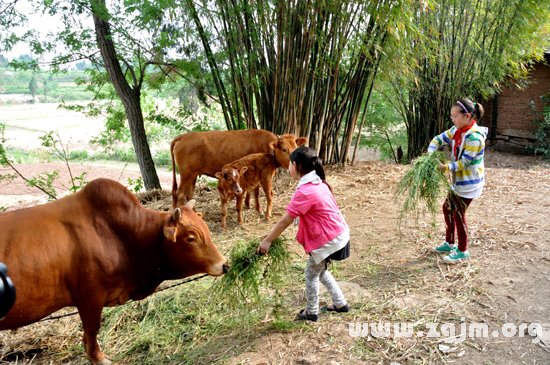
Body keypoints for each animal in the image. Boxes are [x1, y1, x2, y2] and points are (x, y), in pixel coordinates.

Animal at [0, 178, 229, 364]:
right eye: (191, 238)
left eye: (206, 229)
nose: (224, 264)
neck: (118, 234)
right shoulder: (90, 298)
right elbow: (92, 332)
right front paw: (99, 358)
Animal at [170, 129, 308, 206]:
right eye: (284, 149)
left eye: (296, 148)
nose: (294, 164)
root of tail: (183, 136)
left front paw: (246, 204)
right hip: (186, 175)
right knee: (179, 194)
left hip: (192, 175)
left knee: (189, 194)